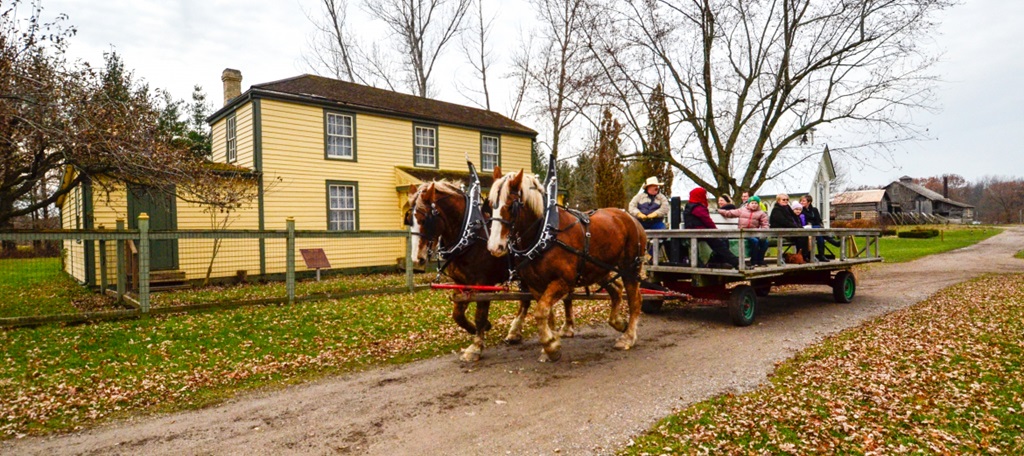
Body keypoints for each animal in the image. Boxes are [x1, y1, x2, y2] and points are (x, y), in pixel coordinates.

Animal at [407, 180, 576, 362]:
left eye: (425, 219)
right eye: (409, 220)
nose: (416, 258)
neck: (470, 236)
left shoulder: (483, 283)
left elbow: (480, 315)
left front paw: (475, 347)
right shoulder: (461, 283)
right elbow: (457, 314)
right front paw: (477, 328)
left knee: (564, 296)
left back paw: (567, 328)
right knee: (527, 301)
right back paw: (515, 333)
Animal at [486, 168, 647, 362]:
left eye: (511, 206)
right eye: (490, 205)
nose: (495, 246)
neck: (544, 234)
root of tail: (630, 217)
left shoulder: (563, 281)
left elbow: (540, 312)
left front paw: (551, 346)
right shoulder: (535, 285)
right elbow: (547, 314)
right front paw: (550, 343)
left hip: (630, 268)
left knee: (635, 300)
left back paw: (628, 337)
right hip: (599, 268)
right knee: (616, 290)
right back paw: (618, 322)